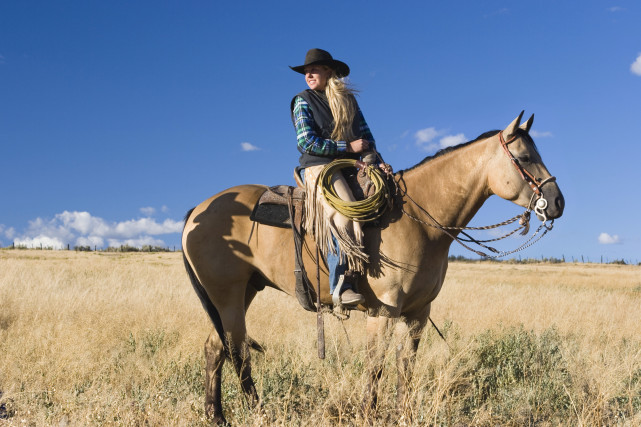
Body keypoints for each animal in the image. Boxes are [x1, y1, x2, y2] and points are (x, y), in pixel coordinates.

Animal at [181, 112, 564, 422]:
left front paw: (404, 415)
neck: (419, 218)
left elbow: (405, 366)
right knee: (237, 352)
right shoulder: (383, 310)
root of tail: (197, 210)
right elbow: (375, 366)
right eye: (525, 157)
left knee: (215, 348)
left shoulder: (418, 312)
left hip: (241, 293)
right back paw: (256, 411)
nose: (557, 202)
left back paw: (216, 416)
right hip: (228, 297)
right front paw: (369, 413)